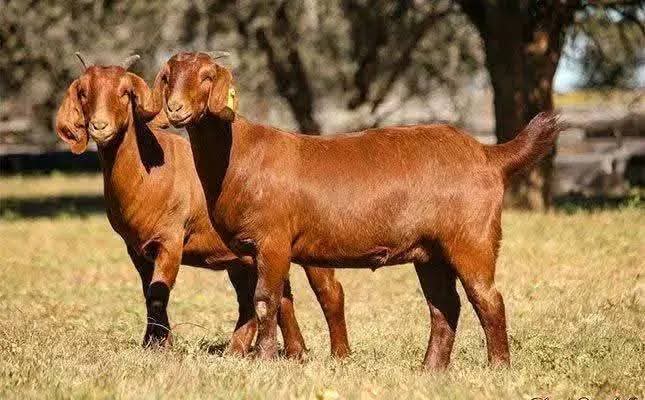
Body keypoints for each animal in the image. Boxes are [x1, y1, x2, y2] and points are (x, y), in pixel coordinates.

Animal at [54, 55, 349, 358]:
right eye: (83, 92)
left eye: (125, 93)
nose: (99, 127)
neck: (149, 171)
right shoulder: (136, 248)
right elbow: (149, 293)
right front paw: (153, 342)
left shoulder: (171, 239)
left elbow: (159, 294)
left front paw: (161, 345)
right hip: (248, 257)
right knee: (267, 299)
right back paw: (273, 351)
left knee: (328, 290)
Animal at [154, 51, 562, 370]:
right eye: (168, 77)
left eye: (207, 77)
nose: (175, 108)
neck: (237, 155)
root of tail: (487, 153)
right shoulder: (262, 248)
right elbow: (279, 301)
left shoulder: (273, 239)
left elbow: (265, 300)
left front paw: (264, 360)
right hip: (430, 251)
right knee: (445, 304)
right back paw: (431, 369)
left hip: (472, 238)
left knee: (488, 298)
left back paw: (498, 367)